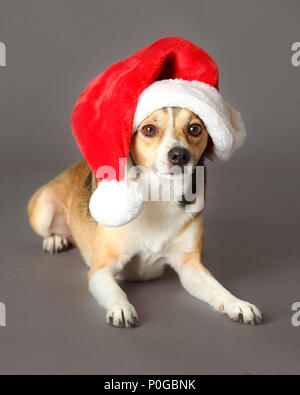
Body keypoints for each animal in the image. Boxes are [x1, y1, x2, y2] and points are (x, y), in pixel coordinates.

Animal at [28, 106, 262, 330]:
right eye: (149, 129)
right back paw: (55, 239)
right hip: (43, 210)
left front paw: (237, 304)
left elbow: (217, 288)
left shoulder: (190, 266)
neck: (161, 192)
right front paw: (121, 308)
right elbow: (115, 290)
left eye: (195, 129)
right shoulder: (101, 269)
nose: (179, 155)